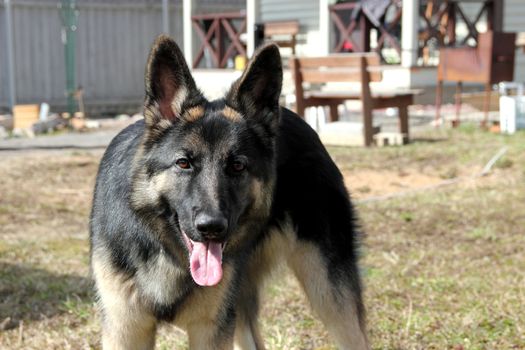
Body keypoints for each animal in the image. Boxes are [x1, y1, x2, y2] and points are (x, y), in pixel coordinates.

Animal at [90, 36, 368, 350]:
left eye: (237, 166)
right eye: (183, 163)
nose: (212, 228)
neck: (167, 252)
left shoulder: (210, 331)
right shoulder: (126, 330)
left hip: (330, 296)